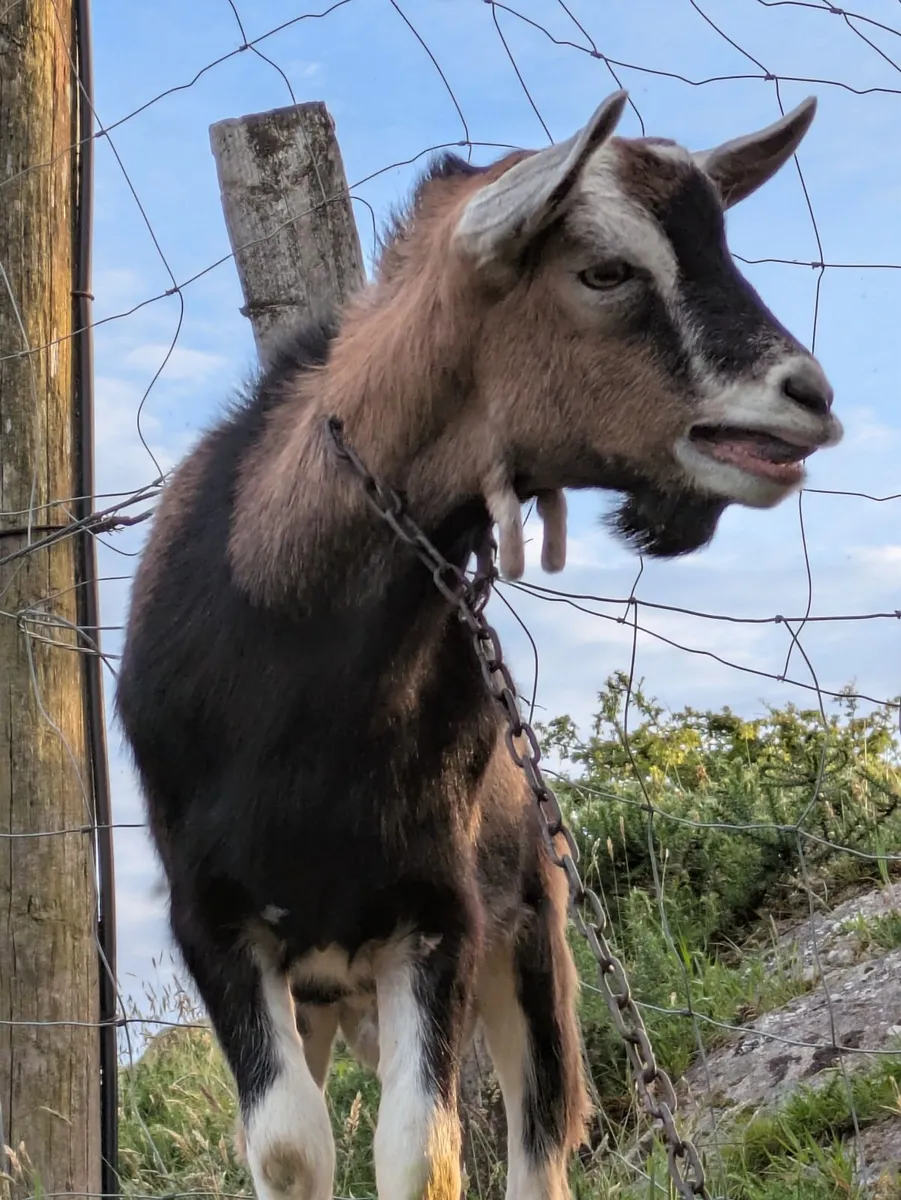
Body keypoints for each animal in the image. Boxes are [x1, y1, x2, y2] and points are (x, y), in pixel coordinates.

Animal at [116, 90, 842, 1200]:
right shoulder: (215, 920)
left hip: (535, 939)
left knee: (542, 1139)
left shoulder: (439, 913)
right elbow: (288, 1147)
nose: (806, 396)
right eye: (604, 270)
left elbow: (424, 1152)